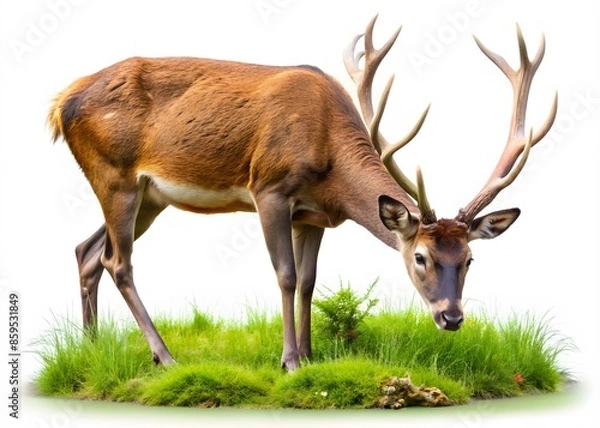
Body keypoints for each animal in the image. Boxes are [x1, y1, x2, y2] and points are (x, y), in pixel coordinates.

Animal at [48, 15, 556, 372]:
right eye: (420, 257)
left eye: (469, 259)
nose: (452, 318)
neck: (330, 162)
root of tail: (61, 102)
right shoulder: (269, 188)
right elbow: (286, 275)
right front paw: (289, 360)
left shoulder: (314, 215)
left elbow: (310, 280)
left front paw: (311, 356)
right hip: (113, 175)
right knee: (117, 260)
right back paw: (166, 356)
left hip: (150, 197)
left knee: (86, 250)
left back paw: (90, 349)